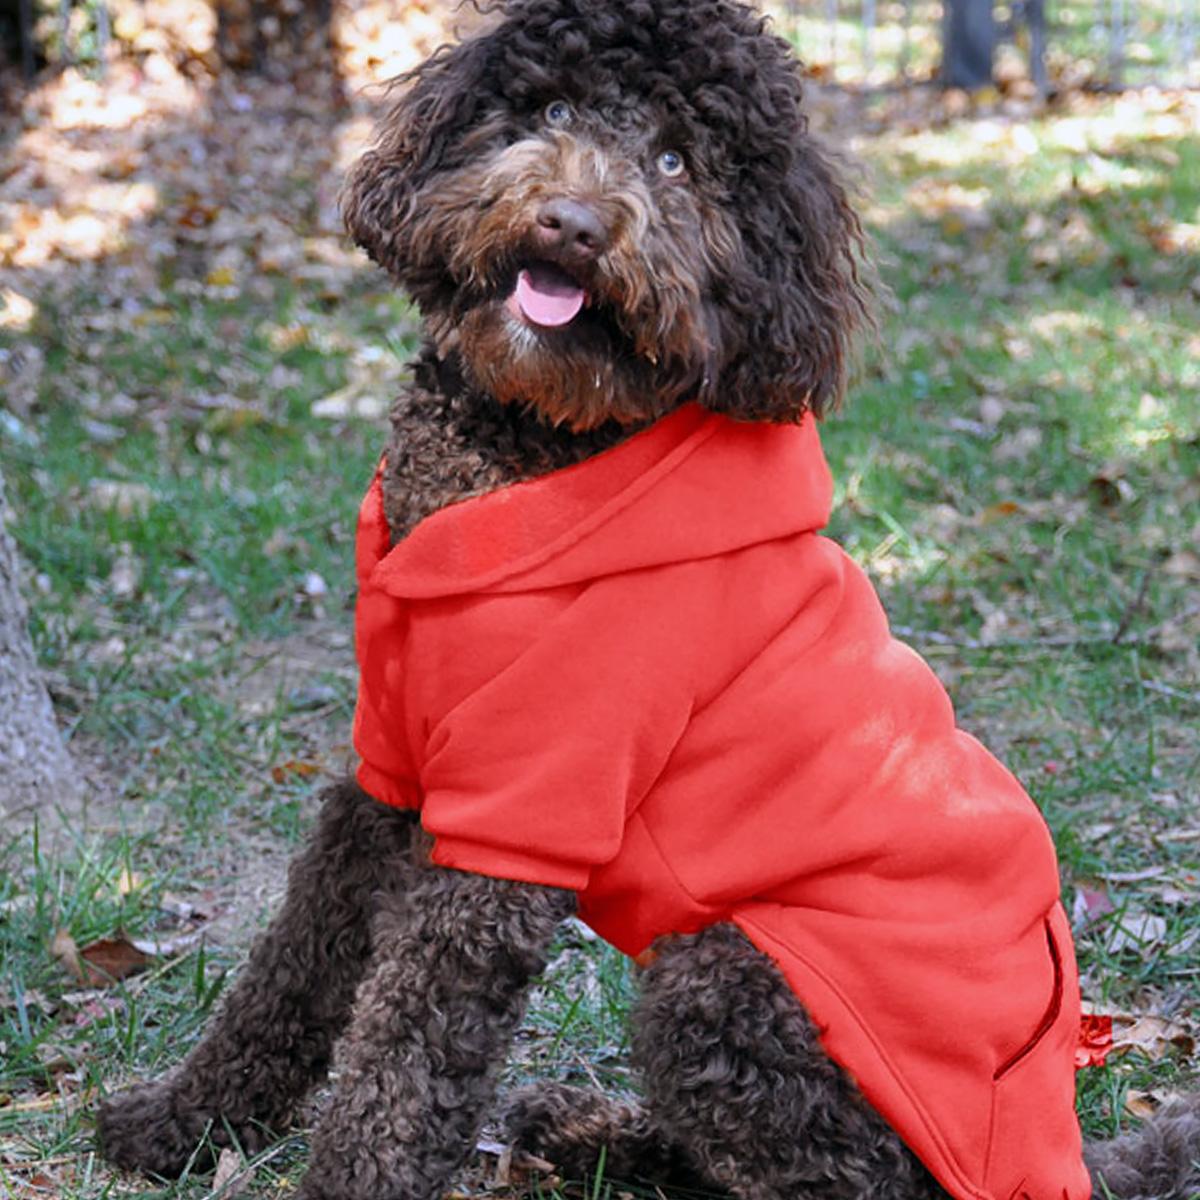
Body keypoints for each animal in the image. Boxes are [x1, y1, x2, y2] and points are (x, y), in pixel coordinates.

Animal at [98, 2, 1195, 1200]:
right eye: (551, 106)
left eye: (677, 162)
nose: (574, 225)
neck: (521, 452)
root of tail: (1064, 1156)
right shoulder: (387, 769)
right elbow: (292, 966)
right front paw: (179, 1121)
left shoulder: (514, 821)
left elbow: (405, 1059)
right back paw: (581, 1130)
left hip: (726, 984)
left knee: (836, 1177)